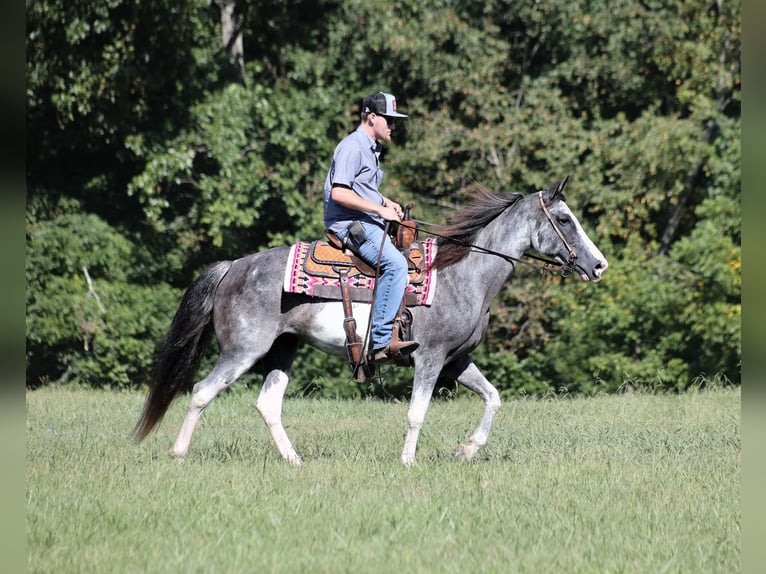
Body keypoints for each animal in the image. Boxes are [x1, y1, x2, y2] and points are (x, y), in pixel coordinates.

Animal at [134, 177, 608, 465]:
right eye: (564, 219)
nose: (599, 265)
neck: (464, 274)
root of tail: (233, 266)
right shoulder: (430, 359)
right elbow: (417, 413)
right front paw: (408, 461)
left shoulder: (457, 360)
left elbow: (493, 398)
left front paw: (466, 450)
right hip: (242, 351)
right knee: (201, 391)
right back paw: (178, 453)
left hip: (281, 351)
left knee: (267, 404)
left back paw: (295, 461)